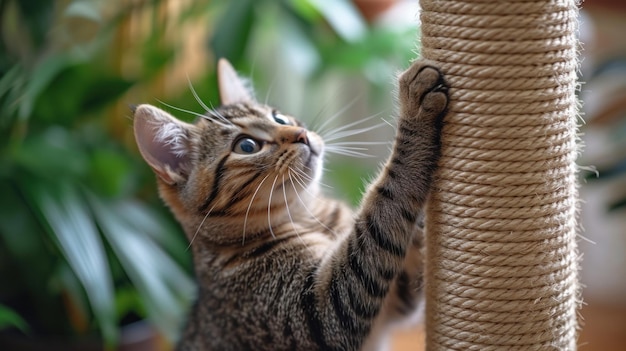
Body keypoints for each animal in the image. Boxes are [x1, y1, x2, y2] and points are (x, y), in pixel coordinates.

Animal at [132, 59, 446, 350]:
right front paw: (414, 114)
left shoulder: (399, 296)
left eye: (279, 118)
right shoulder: (323, 310)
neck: (309, 216)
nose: (302, 135)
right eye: (246, 146)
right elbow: (387, 202)